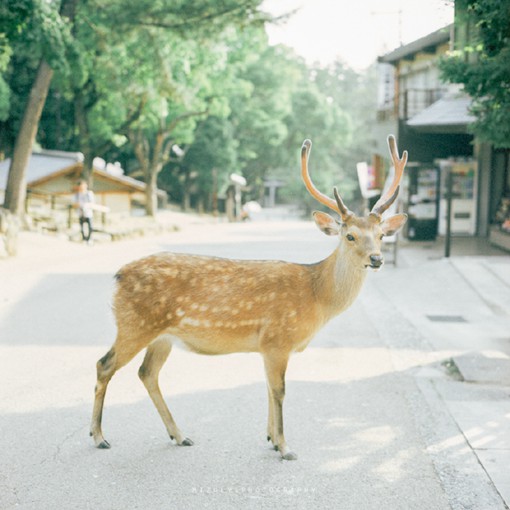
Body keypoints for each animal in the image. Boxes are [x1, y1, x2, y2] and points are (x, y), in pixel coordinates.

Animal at [90, 133, 406, 460]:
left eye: (381, 235)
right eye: (350, 235)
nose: (377, 259)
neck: (316, 296)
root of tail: (118, 276)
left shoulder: (267, 346)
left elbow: (267, 386)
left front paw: (271, 439)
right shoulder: (278, 339)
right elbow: (279, 389)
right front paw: (285, 447)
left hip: (162, 335)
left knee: (147, 373)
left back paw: (179, 435)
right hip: (134, 325)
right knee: (104, 365)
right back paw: (99, 436)